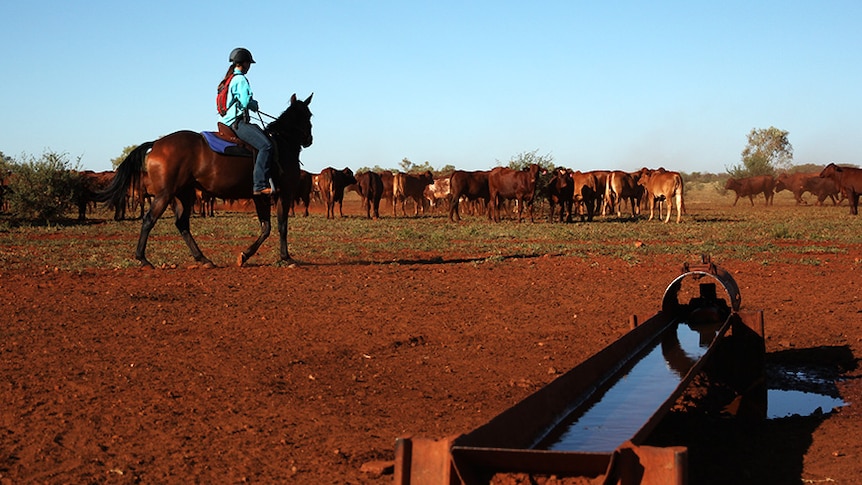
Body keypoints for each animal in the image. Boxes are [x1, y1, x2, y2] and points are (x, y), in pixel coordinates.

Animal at [98, 93, 314, 268]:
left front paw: (244, 256)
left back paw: (202, 258)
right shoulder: (284, 194)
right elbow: (281, 226)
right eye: (309, 115)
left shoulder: (260, 197)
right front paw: (286, 258)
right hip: (165, 194)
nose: (309, 139)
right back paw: (143, 259)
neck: (282, 143)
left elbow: (266, 228)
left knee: (182, 224)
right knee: (149, 220)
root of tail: (157, 144)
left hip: (183, 195)